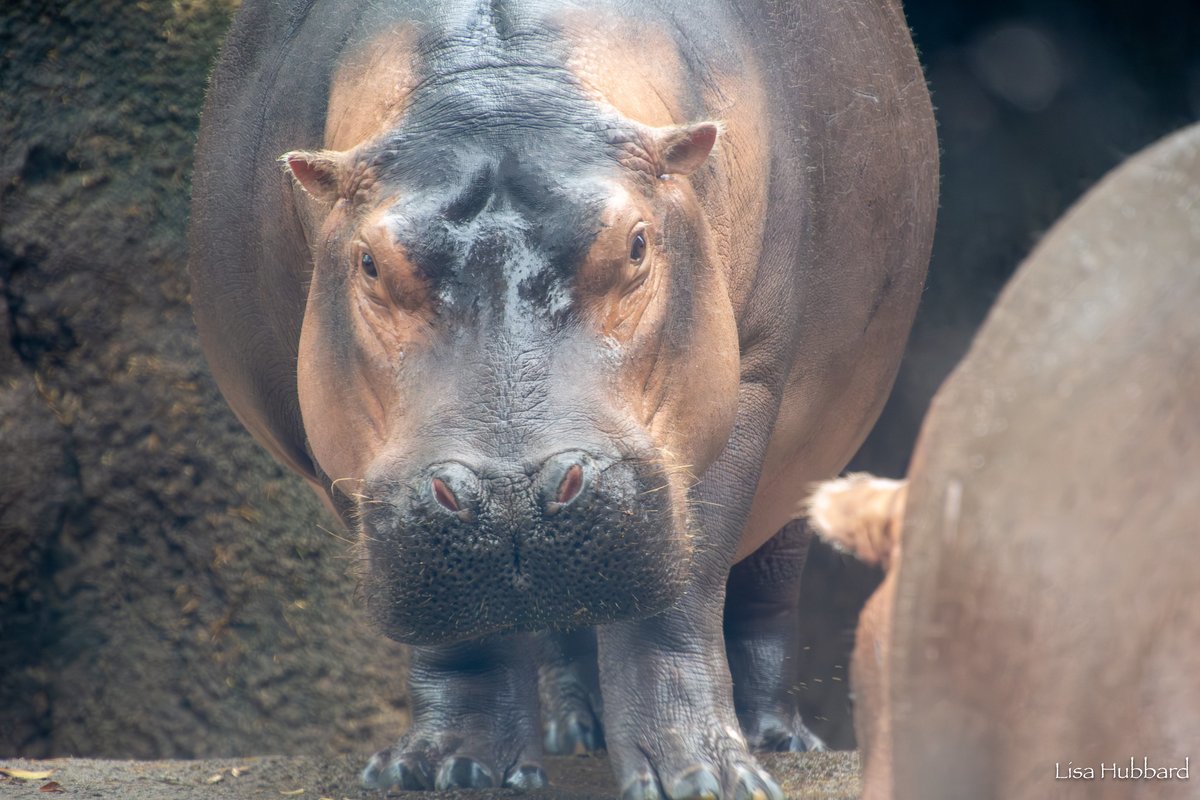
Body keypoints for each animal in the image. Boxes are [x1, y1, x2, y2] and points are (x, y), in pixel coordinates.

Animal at [188, 1, 938, 797]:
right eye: (368, 262)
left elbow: (679, 601)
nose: (510, 494)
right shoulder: (336, 452)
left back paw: (777, 737)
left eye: (637, 243)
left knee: (767, 587)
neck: (506, 82)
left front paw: (703, 778)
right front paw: (449, 769)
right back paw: (577, 732)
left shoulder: (748, 386)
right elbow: (463, 638)